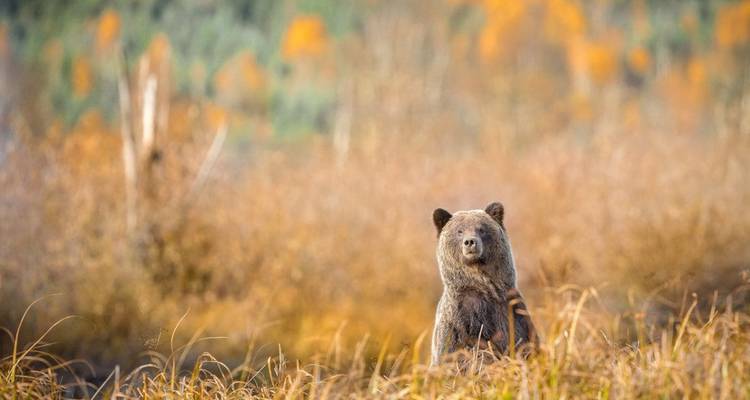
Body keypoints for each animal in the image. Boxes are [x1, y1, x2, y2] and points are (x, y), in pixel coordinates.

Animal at [430, 202, 538, 366]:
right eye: (459, 231)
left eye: (481, 229)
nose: (470, 242)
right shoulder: (461, 317)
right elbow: (464, 353)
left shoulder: (512, 309)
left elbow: (524, 342)